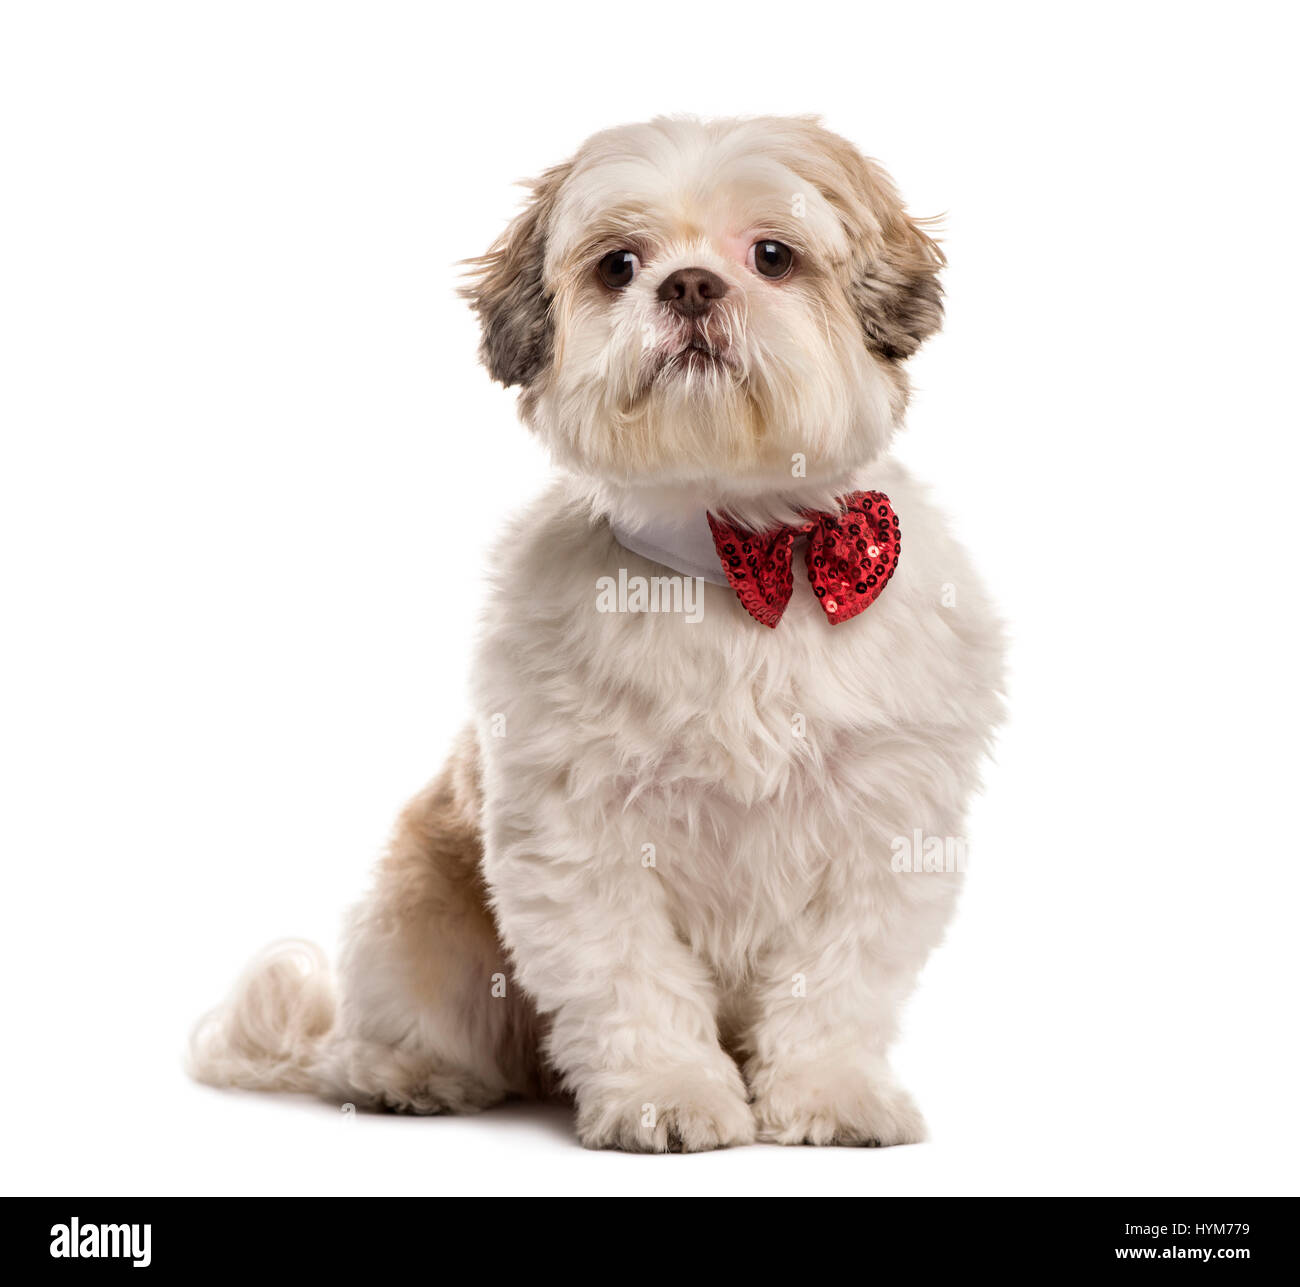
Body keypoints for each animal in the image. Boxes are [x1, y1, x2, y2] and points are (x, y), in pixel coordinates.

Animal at [189, 115, 1003, 1154]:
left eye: (773, 256)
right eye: (619, 264)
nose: (689, 284)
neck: (737, 562)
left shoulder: (881, 830)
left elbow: (837, 984)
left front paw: (830, 1093)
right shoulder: (580, 839)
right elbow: (629, 980)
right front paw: (670, 1093)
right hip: (423, 918)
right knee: (408, 1030)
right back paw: (408, 1074)